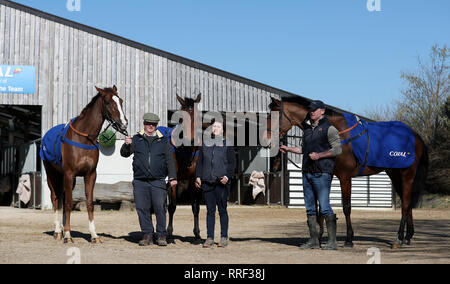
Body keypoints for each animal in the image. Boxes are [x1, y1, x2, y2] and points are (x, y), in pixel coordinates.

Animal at [41, 85, 128, 243]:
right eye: (107, 102)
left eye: (121, 101)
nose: (123, 124)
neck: (84, 138)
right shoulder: (69, 173)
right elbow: (69, 203)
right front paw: (68, 236)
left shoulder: (90, 174)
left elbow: (89, 203)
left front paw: (94, 235)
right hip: (52, 174)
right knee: (55, 198)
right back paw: (58, 231)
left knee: (62, 198)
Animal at [268, 98, 428, 248]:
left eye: (273, 116)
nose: (267, 139)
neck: (338, 135)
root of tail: (416, 136)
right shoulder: (327, 175)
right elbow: (321, 207)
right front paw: (319, 237)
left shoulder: (345, 178)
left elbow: (346, 207)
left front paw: (349, 239)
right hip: (394, 175)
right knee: (407, 203)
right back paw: (407, 237)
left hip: (407, 175)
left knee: (406, 204)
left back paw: (399, 238)